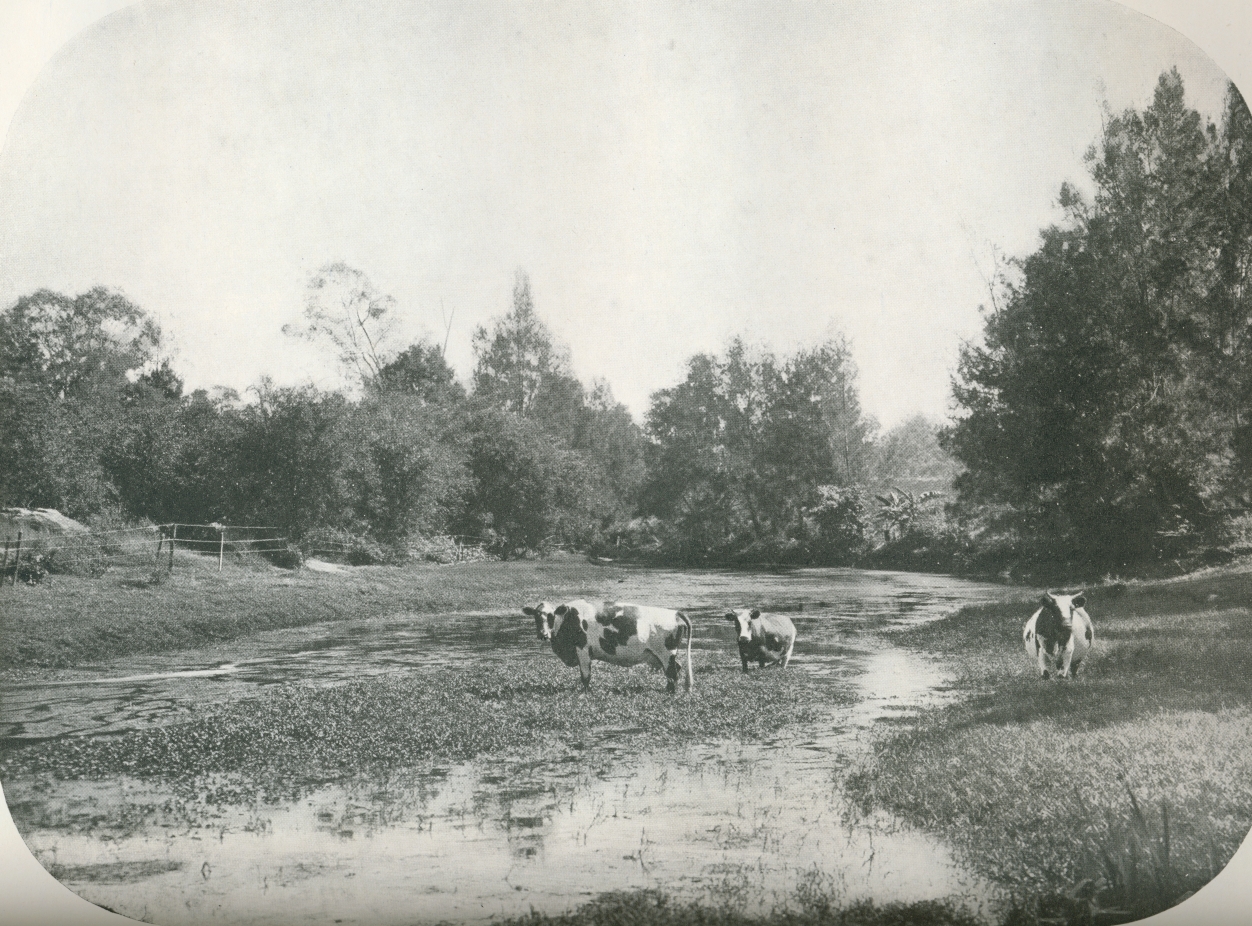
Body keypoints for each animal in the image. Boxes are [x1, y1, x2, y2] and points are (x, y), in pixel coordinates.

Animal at [518, 600, 696, 695]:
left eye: (551, 616)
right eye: (536, 617)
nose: (543, 634)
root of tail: (675, 613)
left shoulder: (582, 650)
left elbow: (585, 676)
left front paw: (586, 693)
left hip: (666, 653)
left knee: (673, 673)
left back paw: (671, 692)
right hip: (661, 656)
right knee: (675, 669)